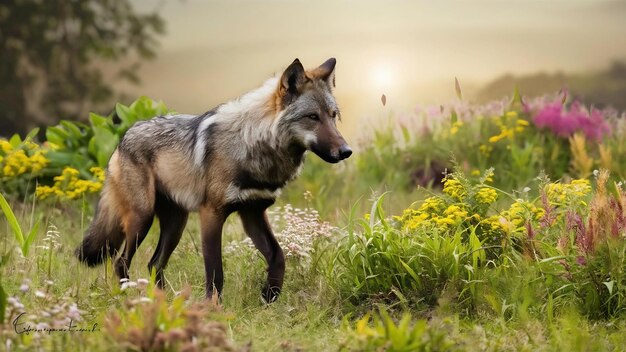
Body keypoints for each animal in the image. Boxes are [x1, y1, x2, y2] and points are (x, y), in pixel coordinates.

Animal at [74, 57, 352, 302]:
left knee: (154, 264)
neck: (253, 145)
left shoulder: (253, 213)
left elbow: (278, 256)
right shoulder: (212, 214)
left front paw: (269, 298)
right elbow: (215, 271)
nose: (346, 151)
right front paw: (212, 307)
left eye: (333, 115)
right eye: (312, 117)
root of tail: (124, 135)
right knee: (120, 262)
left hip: (176, 225)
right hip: (143, 219)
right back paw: (130, 298)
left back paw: (164, 301)